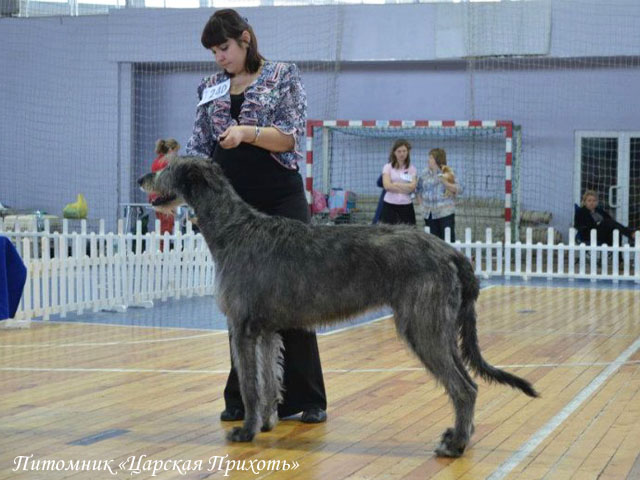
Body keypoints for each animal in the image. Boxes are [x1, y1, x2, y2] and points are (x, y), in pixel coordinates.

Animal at [140, 157, 540, 458]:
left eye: (167, 167)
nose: (142, 177)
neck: (234, 228)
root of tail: (452, 251)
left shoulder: (243, 327)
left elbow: (251, 385)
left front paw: (247, 431)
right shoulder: (265, 330)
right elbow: (269, 379)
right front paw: (267, 423)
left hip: (423, 325)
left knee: (464, 388)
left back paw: (455, 445)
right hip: (439, 326)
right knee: (467, 381)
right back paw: (459, 438)